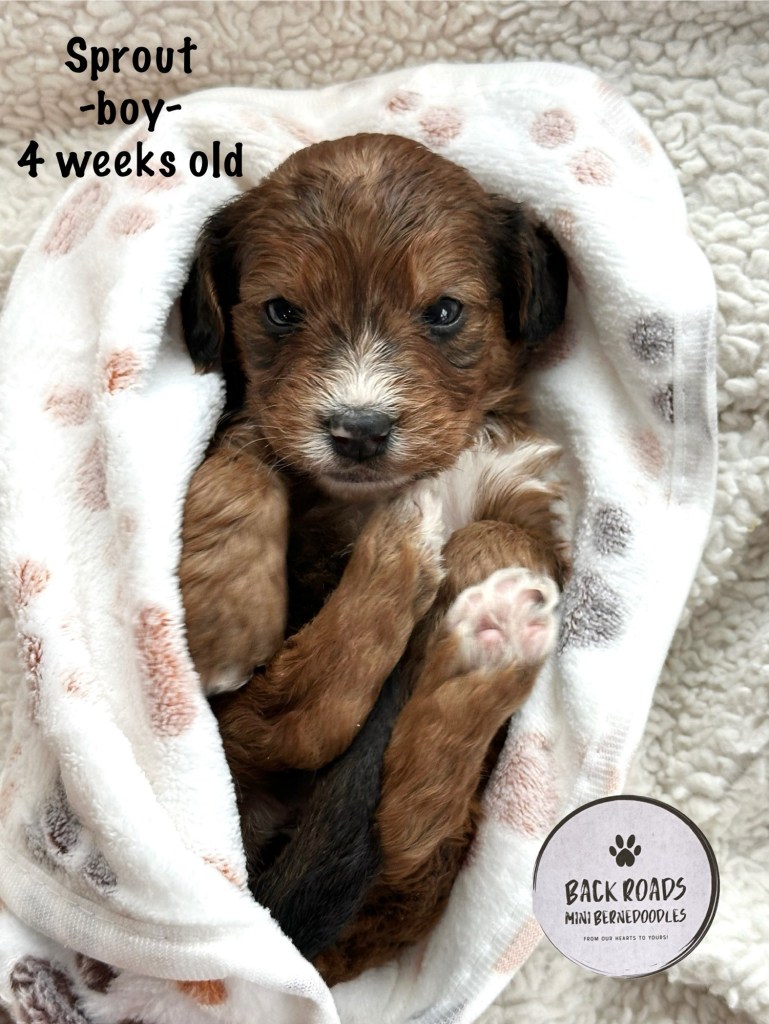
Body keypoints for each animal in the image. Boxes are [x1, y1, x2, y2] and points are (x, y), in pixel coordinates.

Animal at [178, 132, 569, 983]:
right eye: (280, 310)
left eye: (445, 311)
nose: (357, 431)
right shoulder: (260, 428)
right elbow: (241, 457)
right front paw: (224, 620)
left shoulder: (528, 499)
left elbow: (499, 536)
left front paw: (475, 566)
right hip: (234, 736)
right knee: (305, 721)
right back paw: (411, 561)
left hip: (425, 863)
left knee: (409, 820)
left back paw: (486, 634)